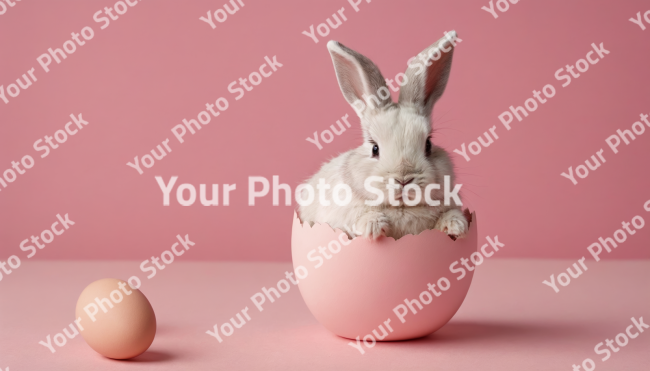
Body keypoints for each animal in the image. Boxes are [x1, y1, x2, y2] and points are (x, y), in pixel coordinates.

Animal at [298, 32, 466, 241]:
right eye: (374, 148)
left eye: (428, 145)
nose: (403, 179)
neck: (402, 208)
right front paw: (374, 226)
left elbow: (450, 214)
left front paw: (457, 226)